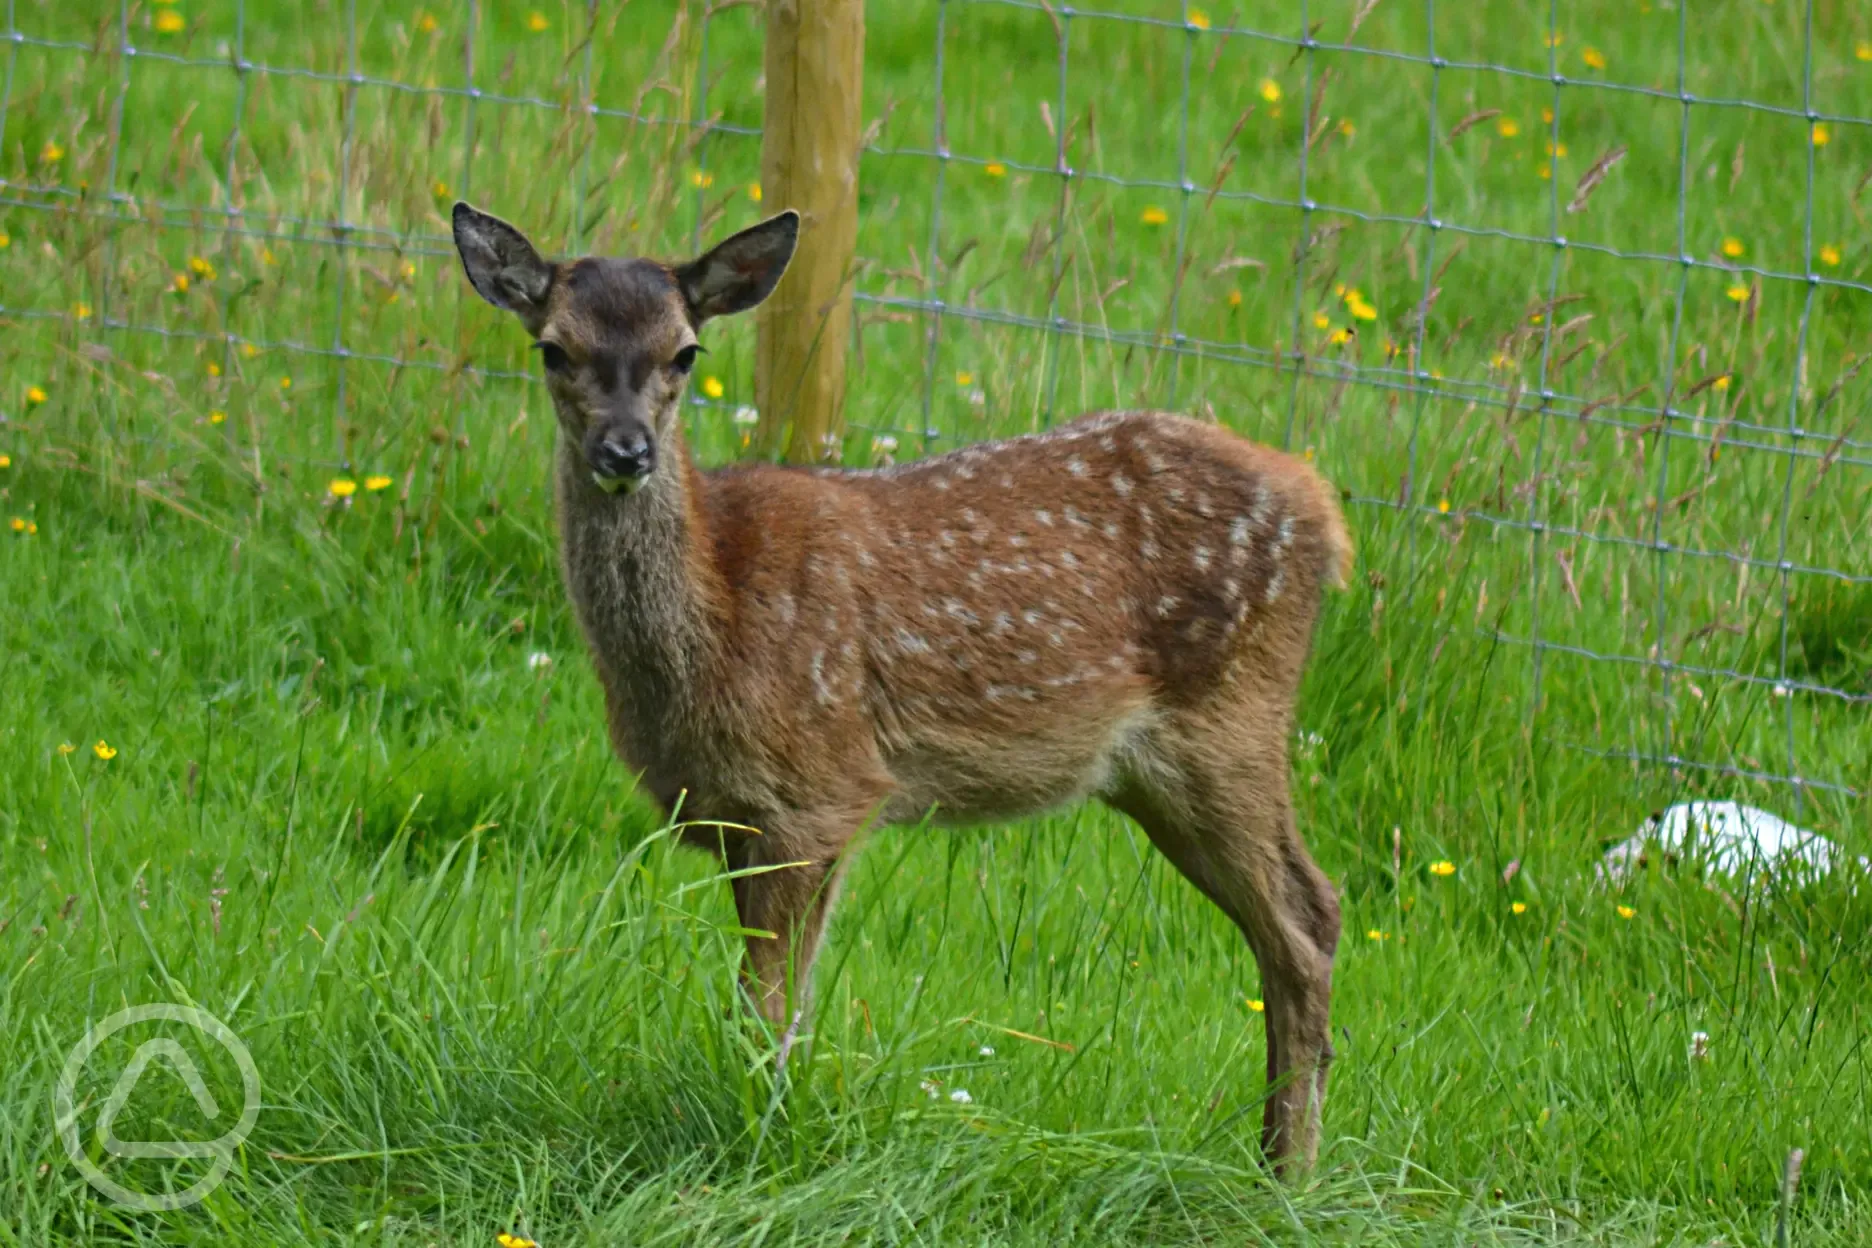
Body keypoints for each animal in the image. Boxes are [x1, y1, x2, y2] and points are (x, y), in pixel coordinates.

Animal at [453, 203, 1362, 1175]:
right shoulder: (738, 817)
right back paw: (1272, 1161)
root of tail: (1323, 507)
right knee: (1293, 923)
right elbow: (769, 1003)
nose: (625, 451)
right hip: (1159, 774)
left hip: (1229, 722)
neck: (715, 618)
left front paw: (762, 1146)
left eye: (686, 352)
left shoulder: (821, 790)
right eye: (553, 348)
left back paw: (1291, 1173)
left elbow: (768, 1011)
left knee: (1308, 920)